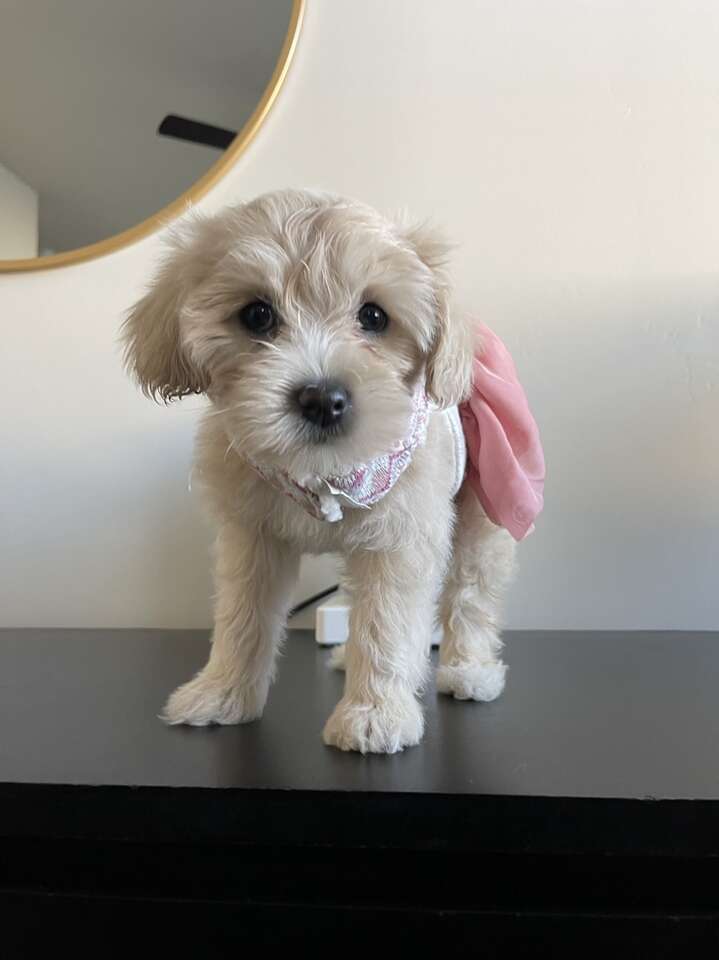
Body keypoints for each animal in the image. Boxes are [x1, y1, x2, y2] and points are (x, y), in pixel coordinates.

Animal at [125, 188, 540, 752]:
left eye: (374, 316)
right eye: (257, 315)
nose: (323, 398)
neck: (322, 473)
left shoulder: (401, 538)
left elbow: (387, 620)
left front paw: (375, 714)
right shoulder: (251, 536)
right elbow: (241, 616)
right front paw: (223, 693)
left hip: (487, 499)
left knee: (471, 591)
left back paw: (469, 670)